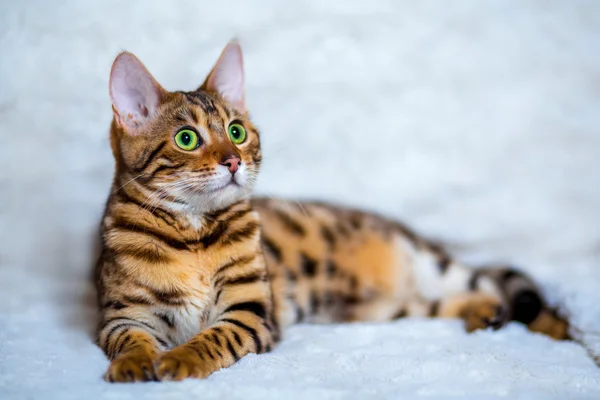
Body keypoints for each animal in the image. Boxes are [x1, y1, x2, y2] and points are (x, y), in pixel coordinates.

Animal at [95, 42, 572, 382]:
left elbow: (211, 339)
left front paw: (179, 360)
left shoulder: (250, 312)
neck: (194, 233)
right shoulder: (121, 316)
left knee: (502, 284)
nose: (233, 160)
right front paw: (134, 365)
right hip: (389, 309)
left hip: (432, 265)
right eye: (187, 139)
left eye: (237, 131)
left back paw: (561, 332)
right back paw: (483, 314)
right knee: (458, 299)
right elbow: (131, 340)